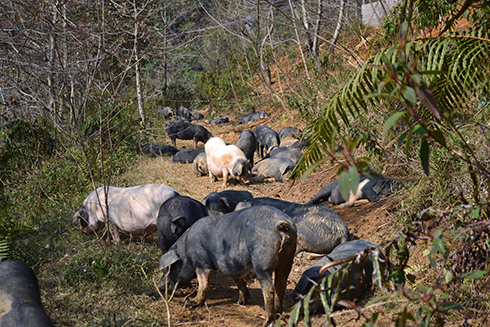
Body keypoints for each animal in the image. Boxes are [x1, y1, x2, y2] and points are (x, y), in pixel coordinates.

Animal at [159, 206, 296, 326]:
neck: (185, 250)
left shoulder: (200, 261)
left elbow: (203, 282)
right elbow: (238, 282)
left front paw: (190, 303)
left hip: (262, 263)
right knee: (281, 286)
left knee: (269, 289)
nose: (160, 286)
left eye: (171, 267)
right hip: (287, 261)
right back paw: (278, 314)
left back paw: (266, 322)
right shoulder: (234, 266)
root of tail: (281, 225)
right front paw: (241, 303)